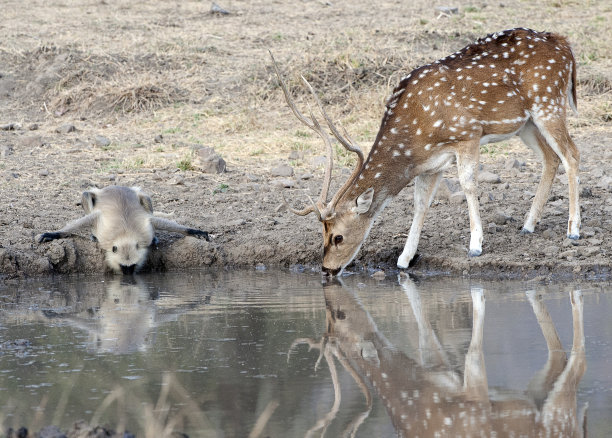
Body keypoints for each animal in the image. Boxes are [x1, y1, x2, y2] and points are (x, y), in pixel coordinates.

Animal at [36, 186, 208, 274]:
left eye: (131, 267)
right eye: (124, 267)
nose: (128, 275)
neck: (125, 234)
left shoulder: (146, 227)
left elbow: (161, 222)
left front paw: (194, 232)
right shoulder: (102, 224)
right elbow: (81, 222)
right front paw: (53, 234)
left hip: (142, 197)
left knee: (145, 197)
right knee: (86, 194)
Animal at [274, 27, 580, 276]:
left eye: (337, 237)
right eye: (321, 234)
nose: (327, 269)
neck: (416, 132)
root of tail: (565, 45)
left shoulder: (467, 134)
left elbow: (468, 184)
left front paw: (476, 246)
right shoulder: (431, 163)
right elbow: (421, 202)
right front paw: (404, 259)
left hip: (549, 103)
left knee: (572, 154)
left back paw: (573, 230)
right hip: (526, 123)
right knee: (551, 158)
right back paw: (528, 224)